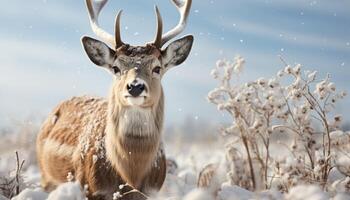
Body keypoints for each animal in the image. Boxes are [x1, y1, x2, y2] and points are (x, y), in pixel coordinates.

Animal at [35, 0, 193, 198]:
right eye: (116, 68)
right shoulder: (91, 188)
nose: (135, 86)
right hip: (44, 174)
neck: (131, 174)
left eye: (157, 68)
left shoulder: (153, 191)